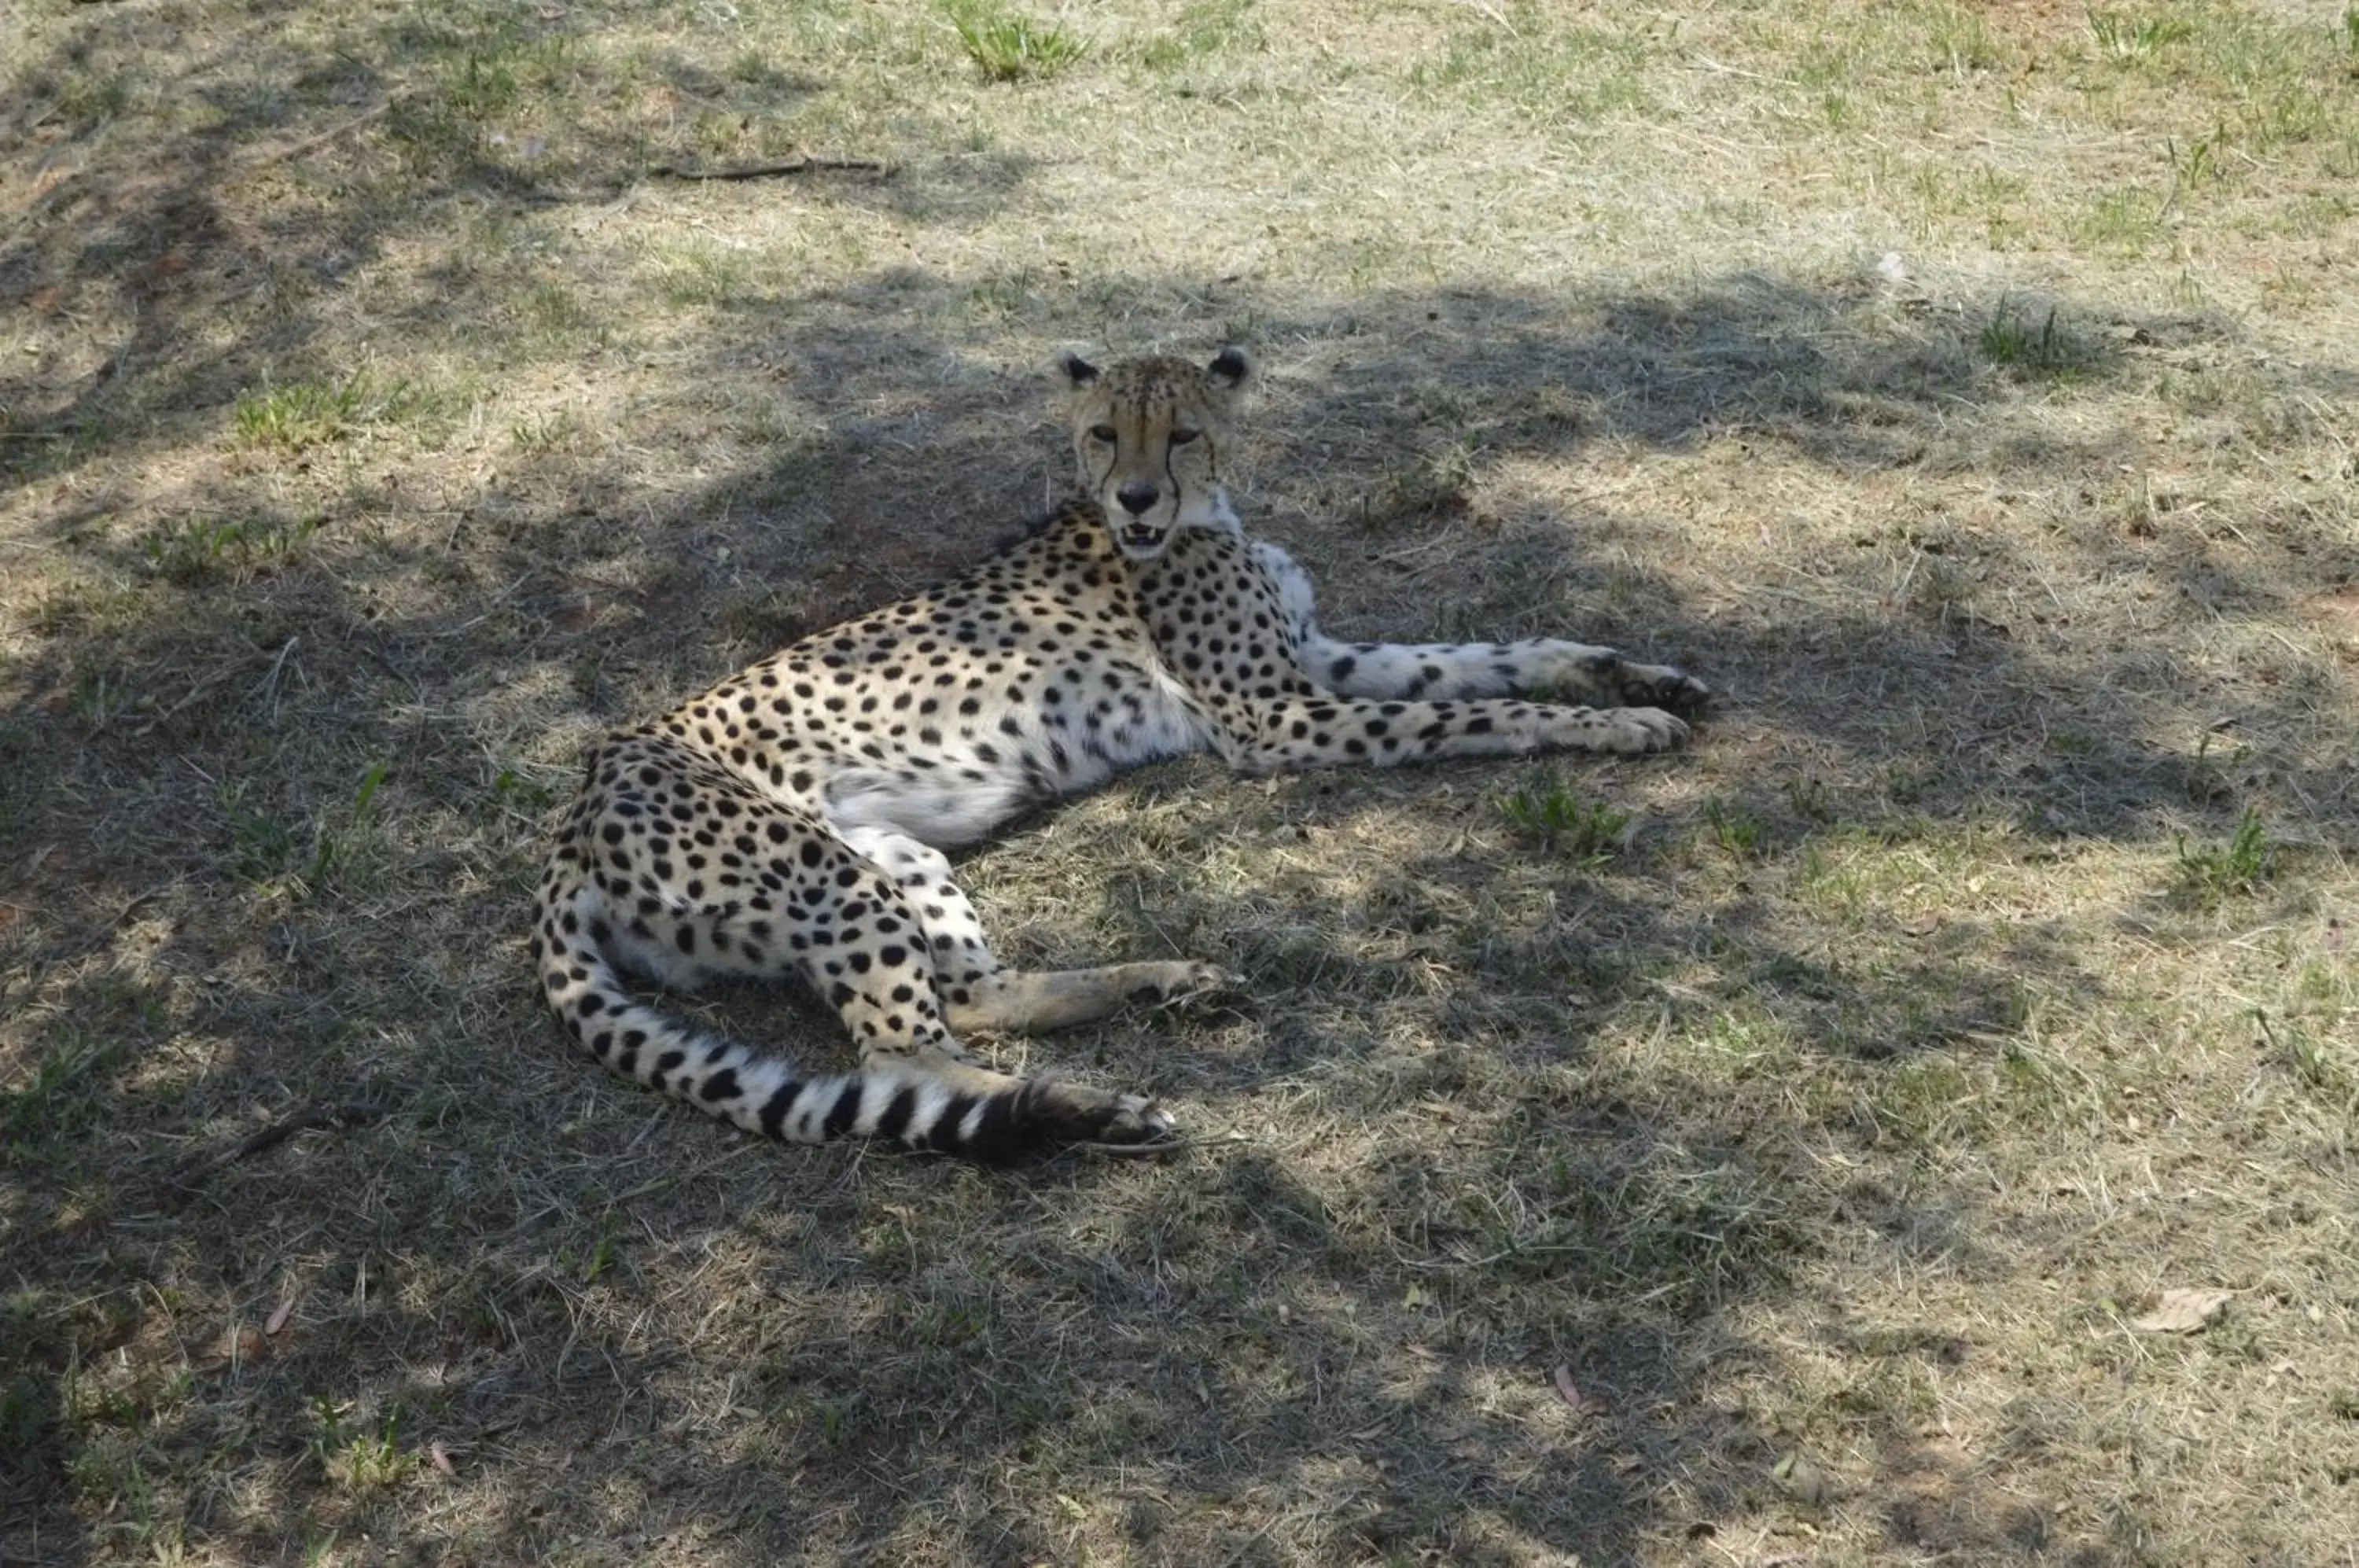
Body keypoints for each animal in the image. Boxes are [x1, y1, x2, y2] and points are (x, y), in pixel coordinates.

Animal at [531, 348, 1717, 1155]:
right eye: (1104, 432)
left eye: (1181, 432)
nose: (1139, 494)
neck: (1197, 519)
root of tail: (578, 803)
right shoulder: (1273, 718)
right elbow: (1476, 714)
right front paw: (1615, 728)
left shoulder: (1318, 661)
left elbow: (1497, 656)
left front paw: (1639, 679)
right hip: (827, 878)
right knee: (908, 1062)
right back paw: (1080, 1108)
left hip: (893, 855)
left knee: (974, 993)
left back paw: (1172, 983)